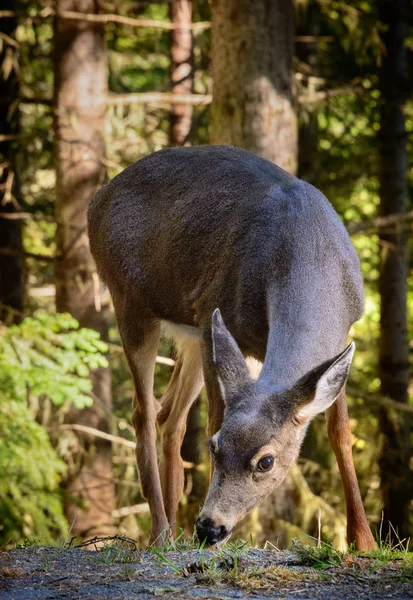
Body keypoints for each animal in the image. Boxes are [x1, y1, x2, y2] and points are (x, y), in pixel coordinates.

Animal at [87, 144, 376, 548]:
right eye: (215, 447)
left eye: (266, 461)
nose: (210, 528)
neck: (310, 253)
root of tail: (95, 201)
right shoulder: (218, 310)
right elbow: (214, 416)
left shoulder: (337, 340)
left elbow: (342, 435)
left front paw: (363, 541)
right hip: (130, 300)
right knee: (143, 412)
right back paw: (160, 533)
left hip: (194, 332)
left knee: (170, 415)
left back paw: (173, 532)